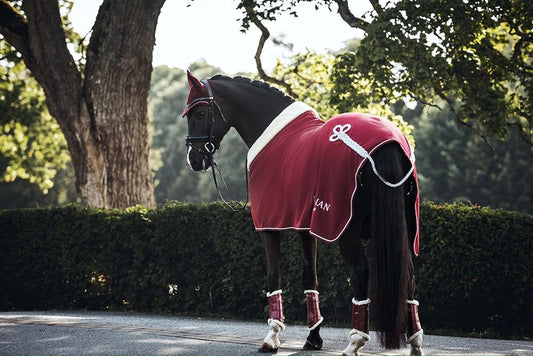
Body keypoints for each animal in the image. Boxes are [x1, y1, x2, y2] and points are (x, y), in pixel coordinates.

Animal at [183, 70, 424, 356]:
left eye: (200, 112)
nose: (194, 159)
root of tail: (389, 144)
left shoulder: (268, 227)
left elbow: (273, 276)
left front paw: (272, 336)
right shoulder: (306, 228)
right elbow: (310, 278)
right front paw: (313, 337)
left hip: (346, 231)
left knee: (359, 273)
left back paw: (355, 342)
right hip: (404, 229)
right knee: (408, 275)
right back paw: (415, 343)